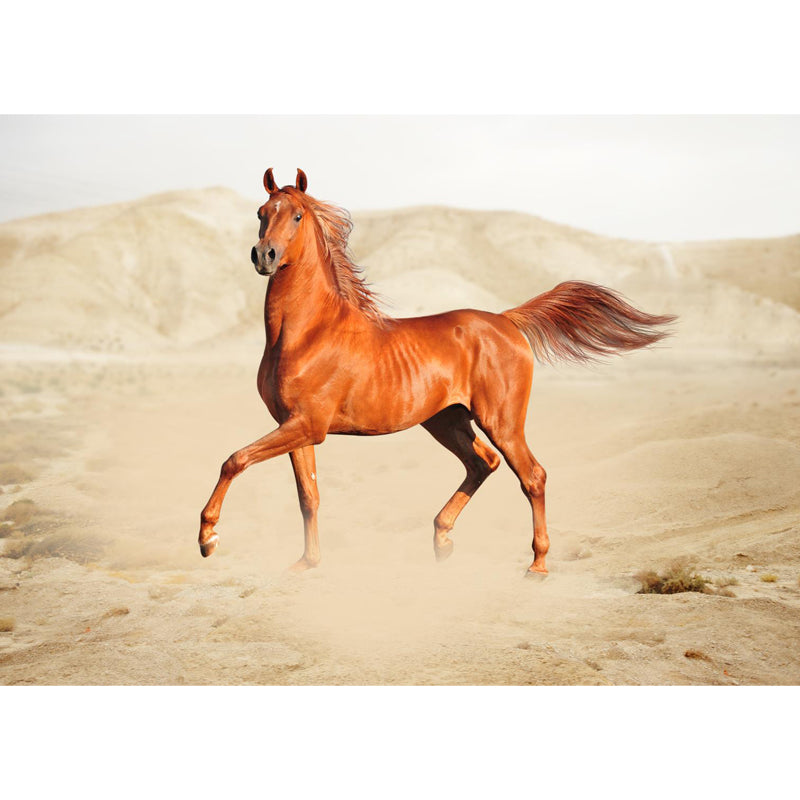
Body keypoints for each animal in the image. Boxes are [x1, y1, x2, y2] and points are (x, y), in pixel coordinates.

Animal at [198, 168, 675, 576]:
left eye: (296, 215)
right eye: (261, 213)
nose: (264, 255)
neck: (307, 333)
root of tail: (507, 321)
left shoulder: (307, 425)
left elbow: (234, 460)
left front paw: (208, 537)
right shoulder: (296, 426)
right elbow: (308, 496)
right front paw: (306, 563)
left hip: (500, 420)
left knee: (531, 476)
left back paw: (537, 565)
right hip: (446, 420)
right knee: (483, 463)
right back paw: (442, 541)